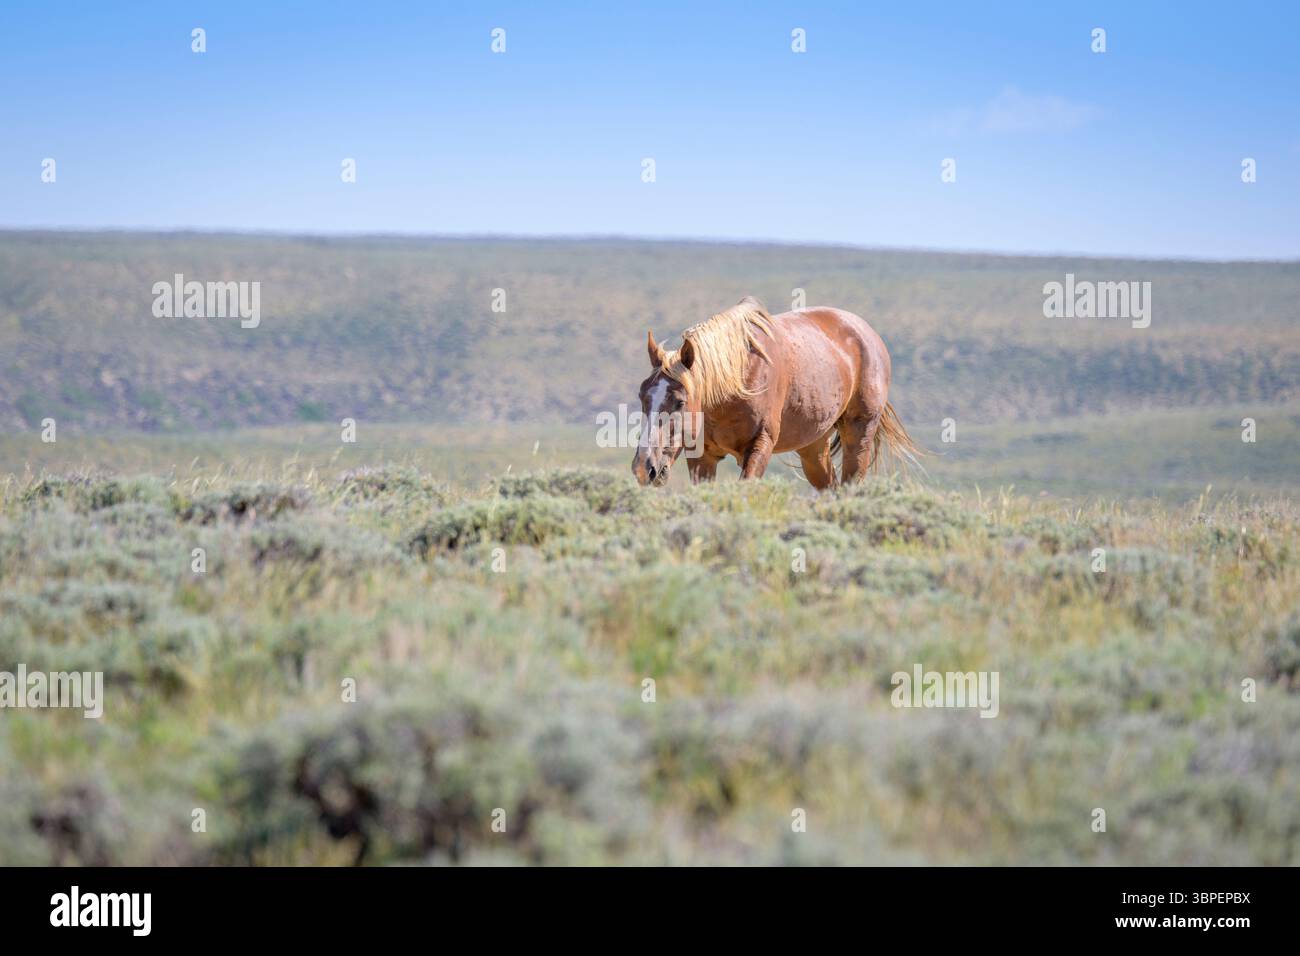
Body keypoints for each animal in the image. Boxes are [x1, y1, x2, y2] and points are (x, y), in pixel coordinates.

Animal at [631, 297, 918, 488]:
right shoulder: (703, 457)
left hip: (859, 435)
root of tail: (868, 335)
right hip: (814, 447)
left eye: (680, 402)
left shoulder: (760, 446)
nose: (646, 468)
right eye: (642, 397)